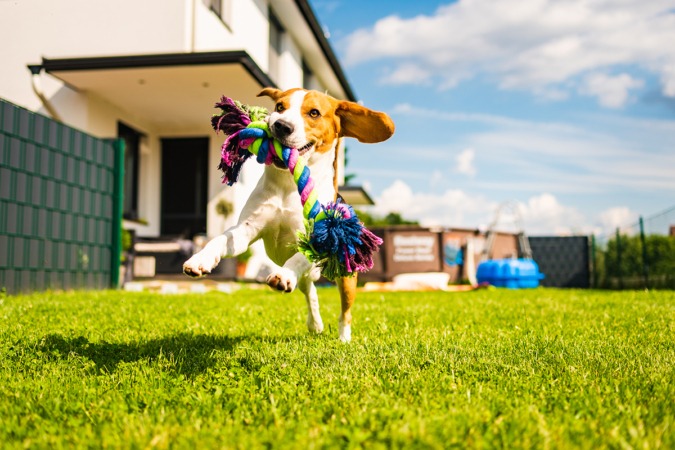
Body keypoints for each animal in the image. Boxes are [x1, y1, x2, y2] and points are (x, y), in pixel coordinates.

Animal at [185, 87, 396, 342]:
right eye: (279, 107)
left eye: (314, 113)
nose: (281, 126)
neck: (287, 184)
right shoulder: (247, 230)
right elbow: (220, 240)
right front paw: (200, 259)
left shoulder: (318, 239)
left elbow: (298, 258)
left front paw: (283, 274)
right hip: (309, 279)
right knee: (310, 291)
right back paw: (315, 324)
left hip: (347, 278)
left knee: (345, 311)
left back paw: (343, 339)